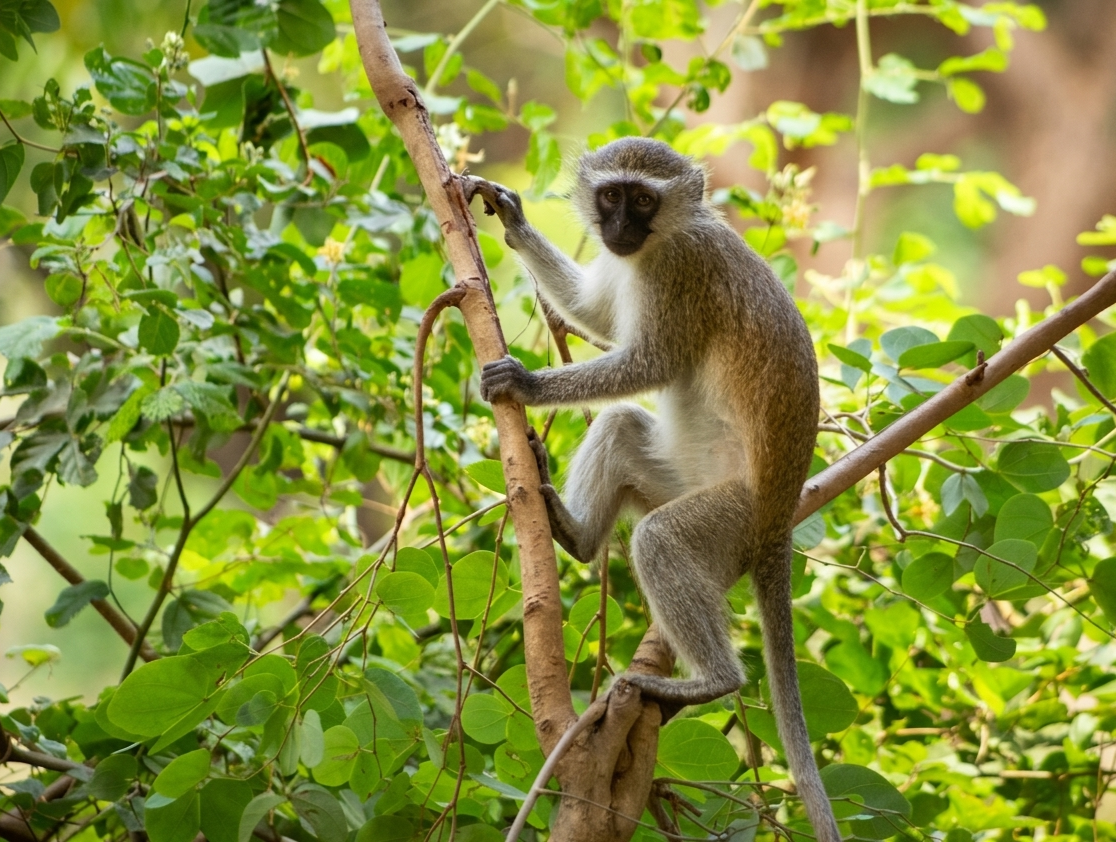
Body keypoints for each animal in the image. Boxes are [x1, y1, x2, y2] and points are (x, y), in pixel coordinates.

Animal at [471, 137, 838, 842]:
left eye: (643, 199)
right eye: (611, 195)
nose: (618, 227)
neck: (665, 238)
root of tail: (780, 517)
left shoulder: (679, 271)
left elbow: (647, 362)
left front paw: (525, 383)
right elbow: (598, 315)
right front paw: (511, 218)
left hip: (730, 516)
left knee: (663, 537)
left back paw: (712, 682)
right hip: (678, 479)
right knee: (618, 425)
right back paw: (576, 535)